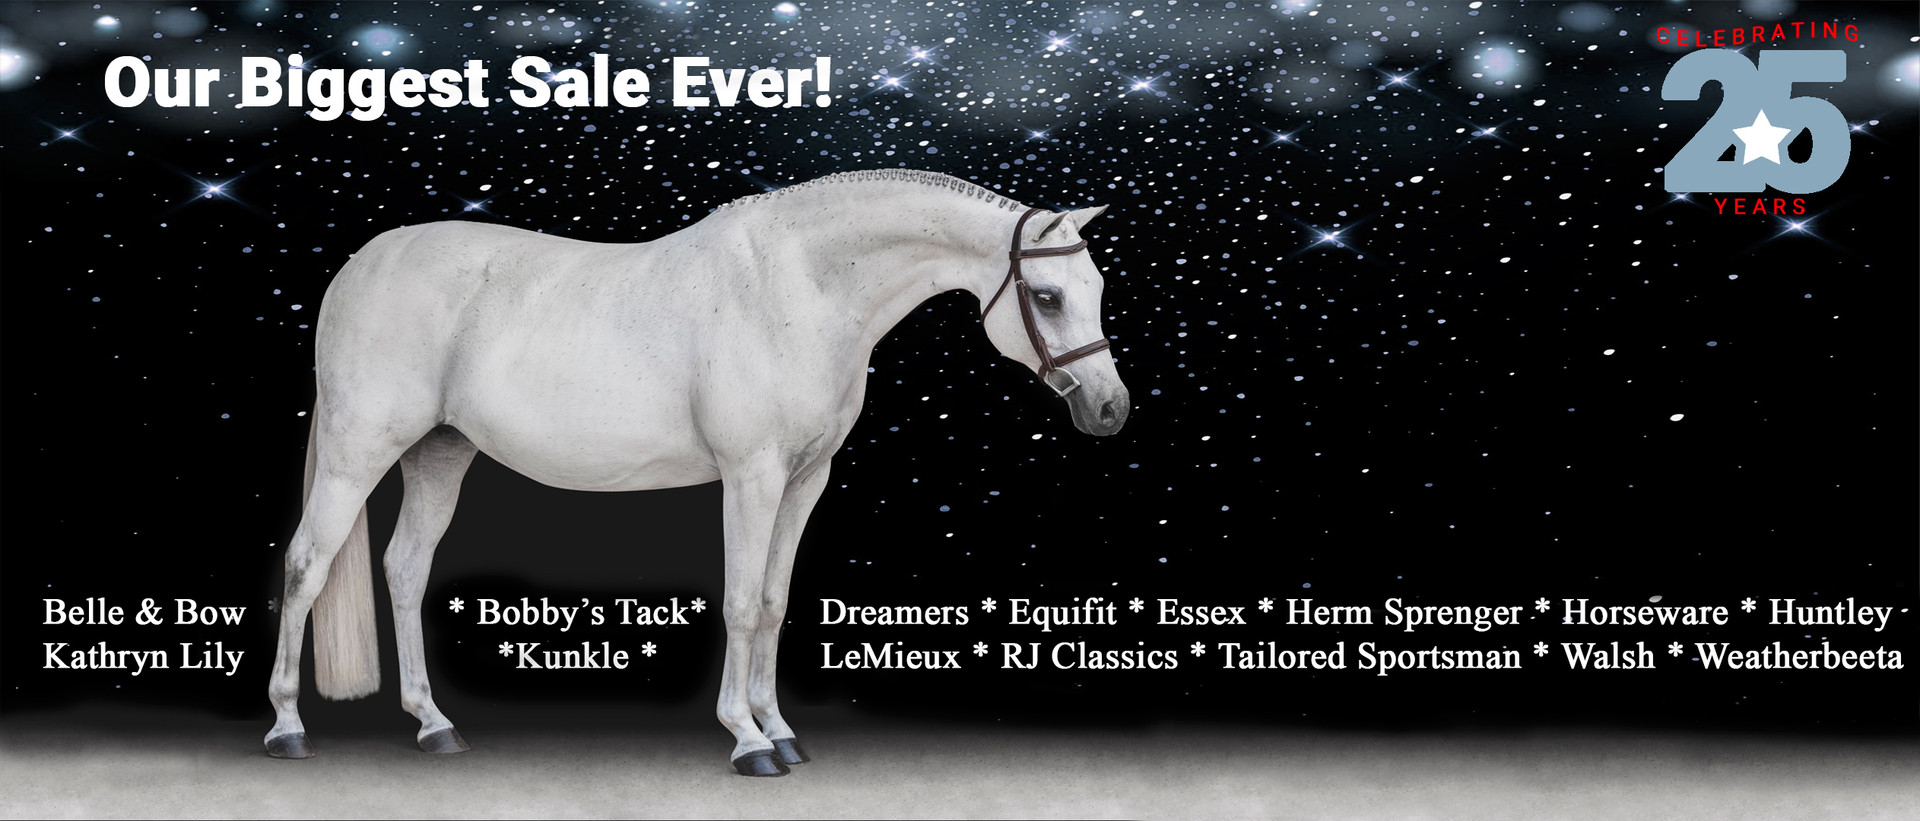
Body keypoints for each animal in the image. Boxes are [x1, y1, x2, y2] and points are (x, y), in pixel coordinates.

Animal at [263, 169, 1130, 776]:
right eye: (1046, 295)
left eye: (1093, 288)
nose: (1110, 408)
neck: (802, 286)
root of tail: (363, 264)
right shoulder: (751, 475)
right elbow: (742, 603)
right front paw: (748, 741)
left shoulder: (805, 480)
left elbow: (775, 603)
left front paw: (782, 730)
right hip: (357, 451)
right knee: (306, 565)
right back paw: (288, 728)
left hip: (440, 452)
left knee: (405, 568)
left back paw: (434, 725)